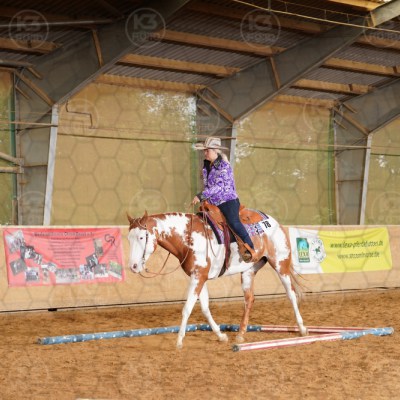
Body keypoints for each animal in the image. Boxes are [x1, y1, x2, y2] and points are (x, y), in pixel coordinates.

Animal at [127, 210, 308, 349]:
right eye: (129, 238)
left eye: (142, 237)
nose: (133, 266)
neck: (189, 238)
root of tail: (273, 221)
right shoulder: (200, 277)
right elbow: (205, 308)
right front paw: (221, 336)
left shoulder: (198, 277)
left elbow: (187, 308)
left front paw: (179, 341)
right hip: (248, 271)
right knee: (249, 299)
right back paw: (240, 334)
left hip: (280, 265)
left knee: (291, 294)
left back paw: (302, 328)